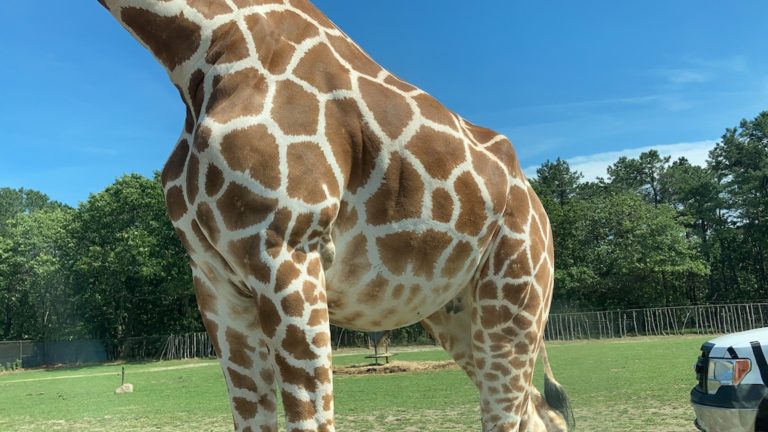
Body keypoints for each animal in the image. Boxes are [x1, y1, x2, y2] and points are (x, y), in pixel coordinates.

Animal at [99, 0, 572, 432]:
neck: (199, 49)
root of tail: (540, 211)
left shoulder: (288, 250)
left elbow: (311, 420)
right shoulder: (214, 281)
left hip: (516, 292)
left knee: (510, 411)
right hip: (455, 311)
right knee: (538, 410)